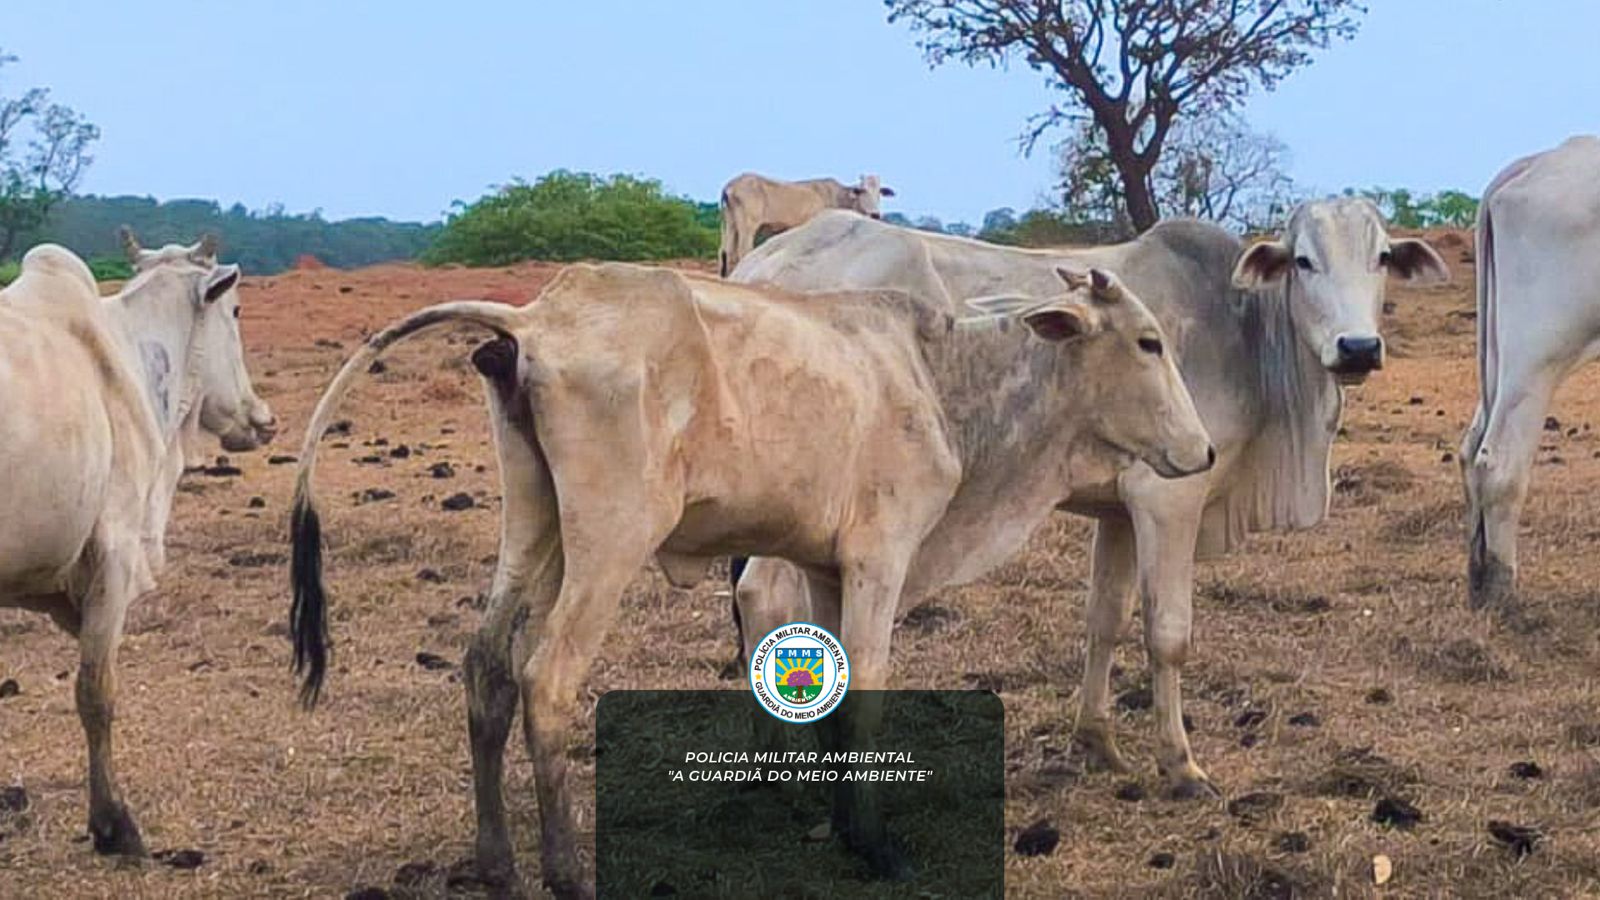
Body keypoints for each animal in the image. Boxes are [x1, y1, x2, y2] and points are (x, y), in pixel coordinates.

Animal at [291, 257, 1209, 890]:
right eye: (1148, 341)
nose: (1202, 452)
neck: (939, 377)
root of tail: (540, 317)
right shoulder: (882, 554)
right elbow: (868, 689)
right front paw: (874, 845)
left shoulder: (829, 567)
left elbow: (838, 698)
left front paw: (837, 827)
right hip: (611, 535)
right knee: (546, 677)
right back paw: (565, 871)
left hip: (535, 522)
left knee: (486, 664)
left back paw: (495, 861)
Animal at [732, 201, 1459, 791]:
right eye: (1303, 260)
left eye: (1383, 257)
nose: (1357, 347)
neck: (1246, 331)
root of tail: (765, 259)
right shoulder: (1169, 499)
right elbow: (1168, 633)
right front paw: (1181, 765)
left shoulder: (1118, 514)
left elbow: (1104, 620)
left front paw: (1096, 742)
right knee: (763, 594)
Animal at [1465, 134, 1600, 608]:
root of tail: (1539, 161)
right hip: (1538, 355)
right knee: (1498, 463)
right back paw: (1501, 592)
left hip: (1500, 358)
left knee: (1471, 447)